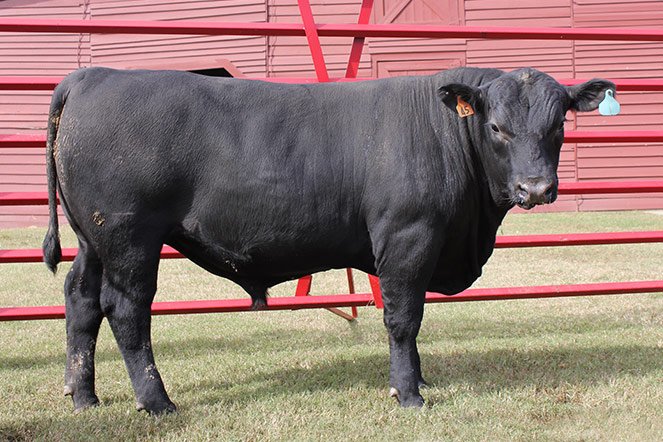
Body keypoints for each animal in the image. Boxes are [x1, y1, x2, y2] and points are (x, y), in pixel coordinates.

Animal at [42, 66, 614, 414]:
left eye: (559, 125)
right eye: (496, 127)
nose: (535, 187)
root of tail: (94, 75)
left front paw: (420, 380)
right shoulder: (408, 237)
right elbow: (404, 318)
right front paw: (408, 393)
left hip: (92, 238)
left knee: (81, 300)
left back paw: (82, 395)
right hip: (128, 236)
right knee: (126, 309)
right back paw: (157, 401)